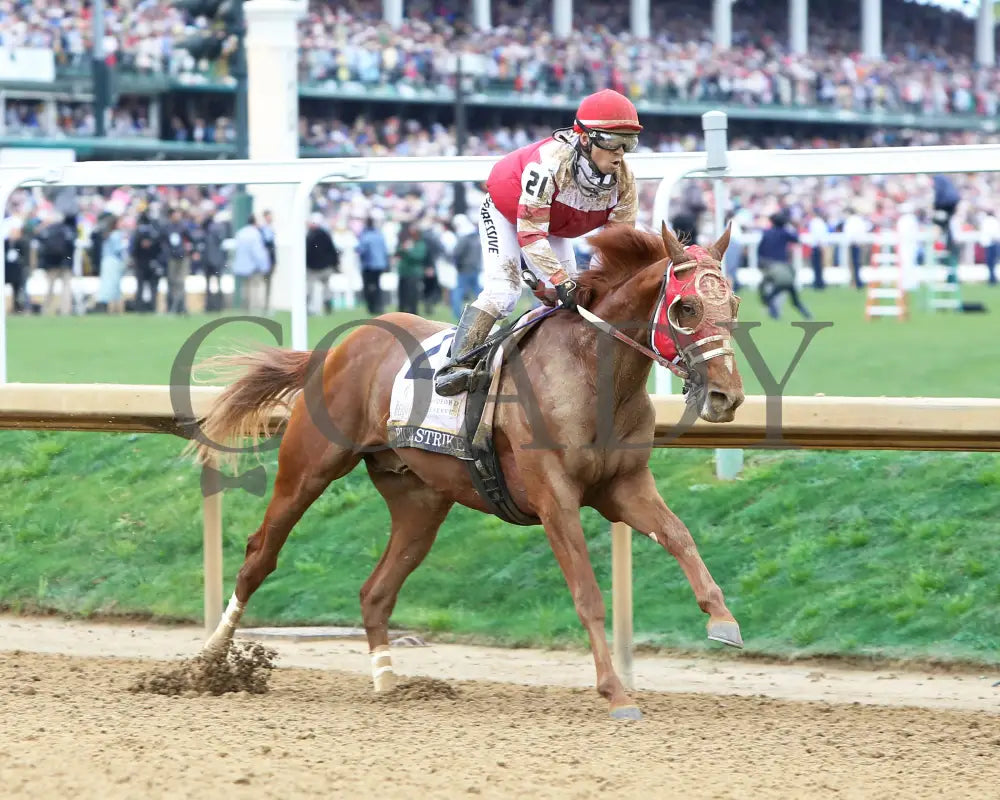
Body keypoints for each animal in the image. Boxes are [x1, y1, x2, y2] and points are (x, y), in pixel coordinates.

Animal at [193, 222, 744, 720]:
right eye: (686, 308)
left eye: (734, 305)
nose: (727, 396)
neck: (593, 375)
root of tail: (339, 346)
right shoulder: (555, 499)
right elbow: (587, 593)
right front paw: (616, 693)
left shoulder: (623, 486)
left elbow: (679, 536)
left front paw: (722, 620)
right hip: (309, 467)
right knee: (260, 554)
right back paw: (209, 661)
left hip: (419, 502)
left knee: (376, 591)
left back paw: (387, 680)